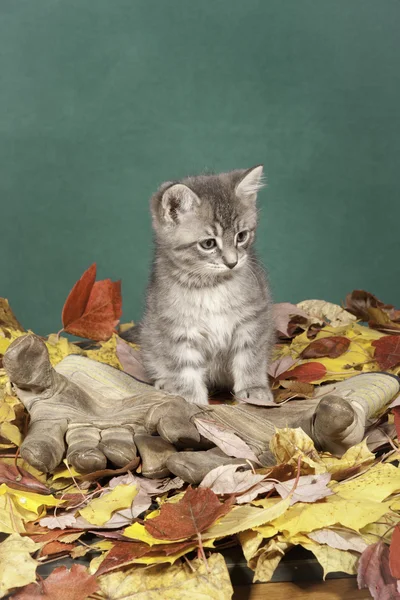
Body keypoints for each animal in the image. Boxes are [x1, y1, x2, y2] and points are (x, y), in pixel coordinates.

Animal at [140, 166, 276, 406]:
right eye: (208, 243)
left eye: (242, 236)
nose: (232, 262)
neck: (211, 286)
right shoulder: (176, 329)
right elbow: (184, 369)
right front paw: (191, 400)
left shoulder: (253, 318)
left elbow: (250, 357)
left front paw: (254, 388)